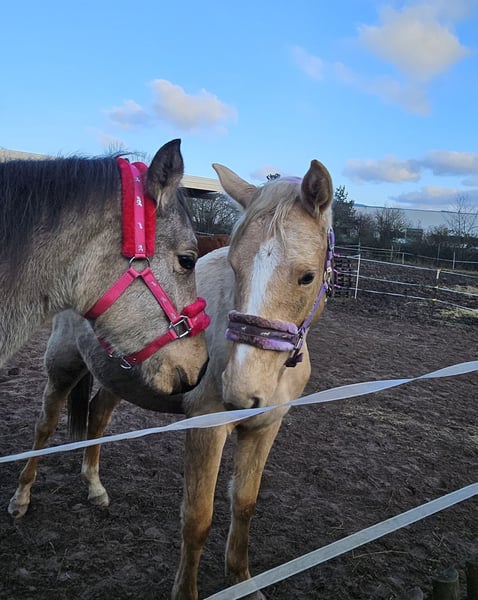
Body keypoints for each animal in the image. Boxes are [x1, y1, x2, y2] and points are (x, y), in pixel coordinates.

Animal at [8, 158, 333, 599]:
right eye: (235, 266)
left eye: (306, 276)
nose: (241, 390)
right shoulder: (206, 429)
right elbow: (197, 519)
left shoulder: (264, 428)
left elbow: (245, 505)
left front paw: (243, 580)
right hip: (63, 367)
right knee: (44, 427)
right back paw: (21, 498)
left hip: (121, 378)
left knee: (96, 417)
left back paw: (94, 487)